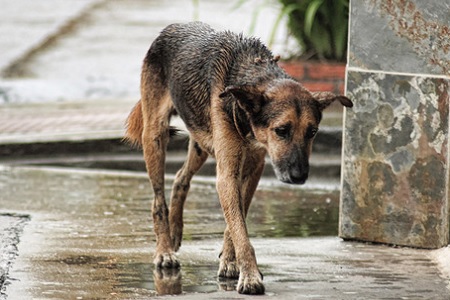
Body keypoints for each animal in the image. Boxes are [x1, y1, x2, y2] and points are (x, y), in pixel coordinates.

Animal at [125, 22, 354, 294]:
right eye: (281, 130)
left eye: (312, 132)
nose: (299, 177)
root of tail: (172, 27)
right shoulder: (228, 174)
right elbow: (239, 228)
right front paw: (250, 275)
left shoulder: (253, 168)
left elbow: (236, 220)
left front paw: (230, 261)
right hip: (155, 137)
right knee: (158, 200)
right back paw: (164, 250)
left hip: (201, 143)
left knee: (181, 177)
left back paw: (176, 230)